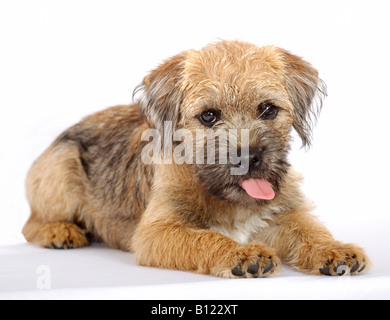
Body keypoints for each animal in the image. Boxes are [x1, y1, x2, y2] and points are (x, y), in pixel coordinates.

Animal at [22, 40, 370, 278]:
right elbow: (205, 238)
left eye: (268, 110)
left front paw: (334, 249)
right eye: (208, 116)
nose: (250, 157)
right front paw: (241, 254)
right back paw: (59, 232)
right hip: (62, 167)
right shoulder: (157, 232)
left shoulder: (285, 211)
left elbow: (309, 230)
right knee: (30, 225)